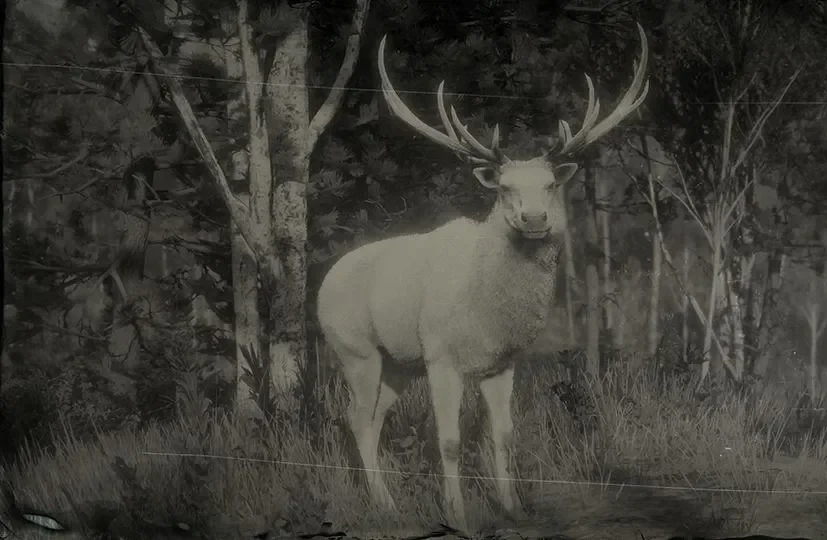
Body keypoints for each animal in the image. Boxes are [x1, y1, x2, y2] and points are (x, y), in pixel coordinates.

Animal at [317, 24, 649, 527]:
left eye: (550, 185)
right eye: (505, 188)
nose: (534, 219)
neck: (489, 316)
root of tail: (321, 285)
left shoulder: (502, 362)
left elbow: (504, 435)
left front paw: (511, 506)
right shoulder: (441, 356)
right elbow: (450, 441)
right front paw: (457, 513)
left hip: (398, 363)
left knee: (373, 419)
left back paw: (387, 499)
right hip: (355, 350)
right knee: (356, 419)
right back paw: (383, 503)